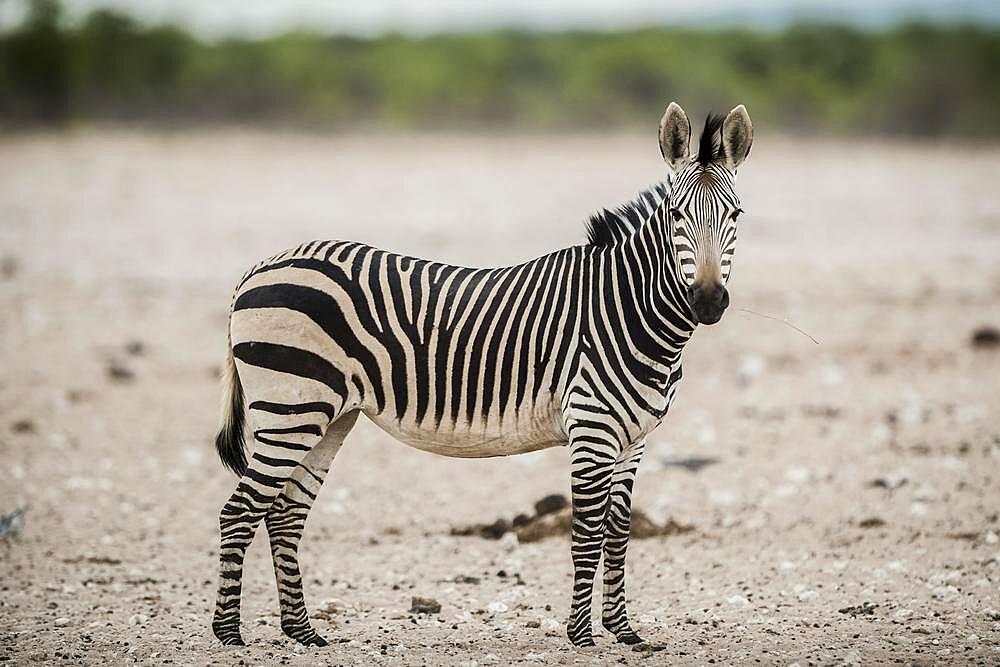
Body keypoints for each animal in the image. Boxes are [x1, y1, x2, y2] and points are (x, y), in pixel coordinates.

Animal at [215, 102, 752, 648]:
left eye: (735, 215)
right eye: (676, 215)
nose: (708, 301)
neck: (626, 308)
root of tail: (261, 266)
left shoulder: (634, 438)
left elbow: (619, 533)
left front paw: (623, 631)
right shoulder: (593, 429)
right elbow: (586, 532)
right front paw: (581, 635)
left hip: (328, 416)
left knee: (284, 515)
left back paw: (302, 632)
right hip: (291, 408)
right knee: (240, 511)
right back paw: (229, 634)